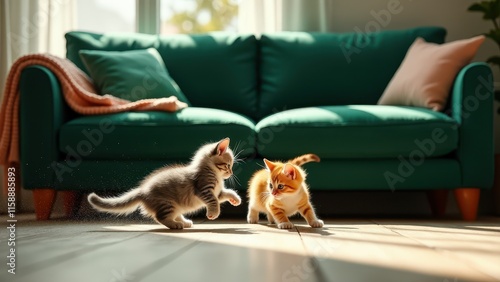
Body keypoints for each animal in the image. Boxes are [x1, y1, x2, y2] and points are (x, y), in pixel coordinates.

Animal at [87, 138, 241, 229]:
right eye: (228, 165)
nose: (231, 173)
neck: (213, 173)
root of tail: (142, 191)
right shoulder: (204, 189)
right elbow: (214, 202)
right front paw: (213, 213)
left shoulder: (217, 192)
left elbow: (227, 193)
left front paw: (236, 200)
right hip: (167, 204)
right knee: (160, 217)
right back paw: (175, 225)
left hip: (176, 206)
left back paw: (184, 222)